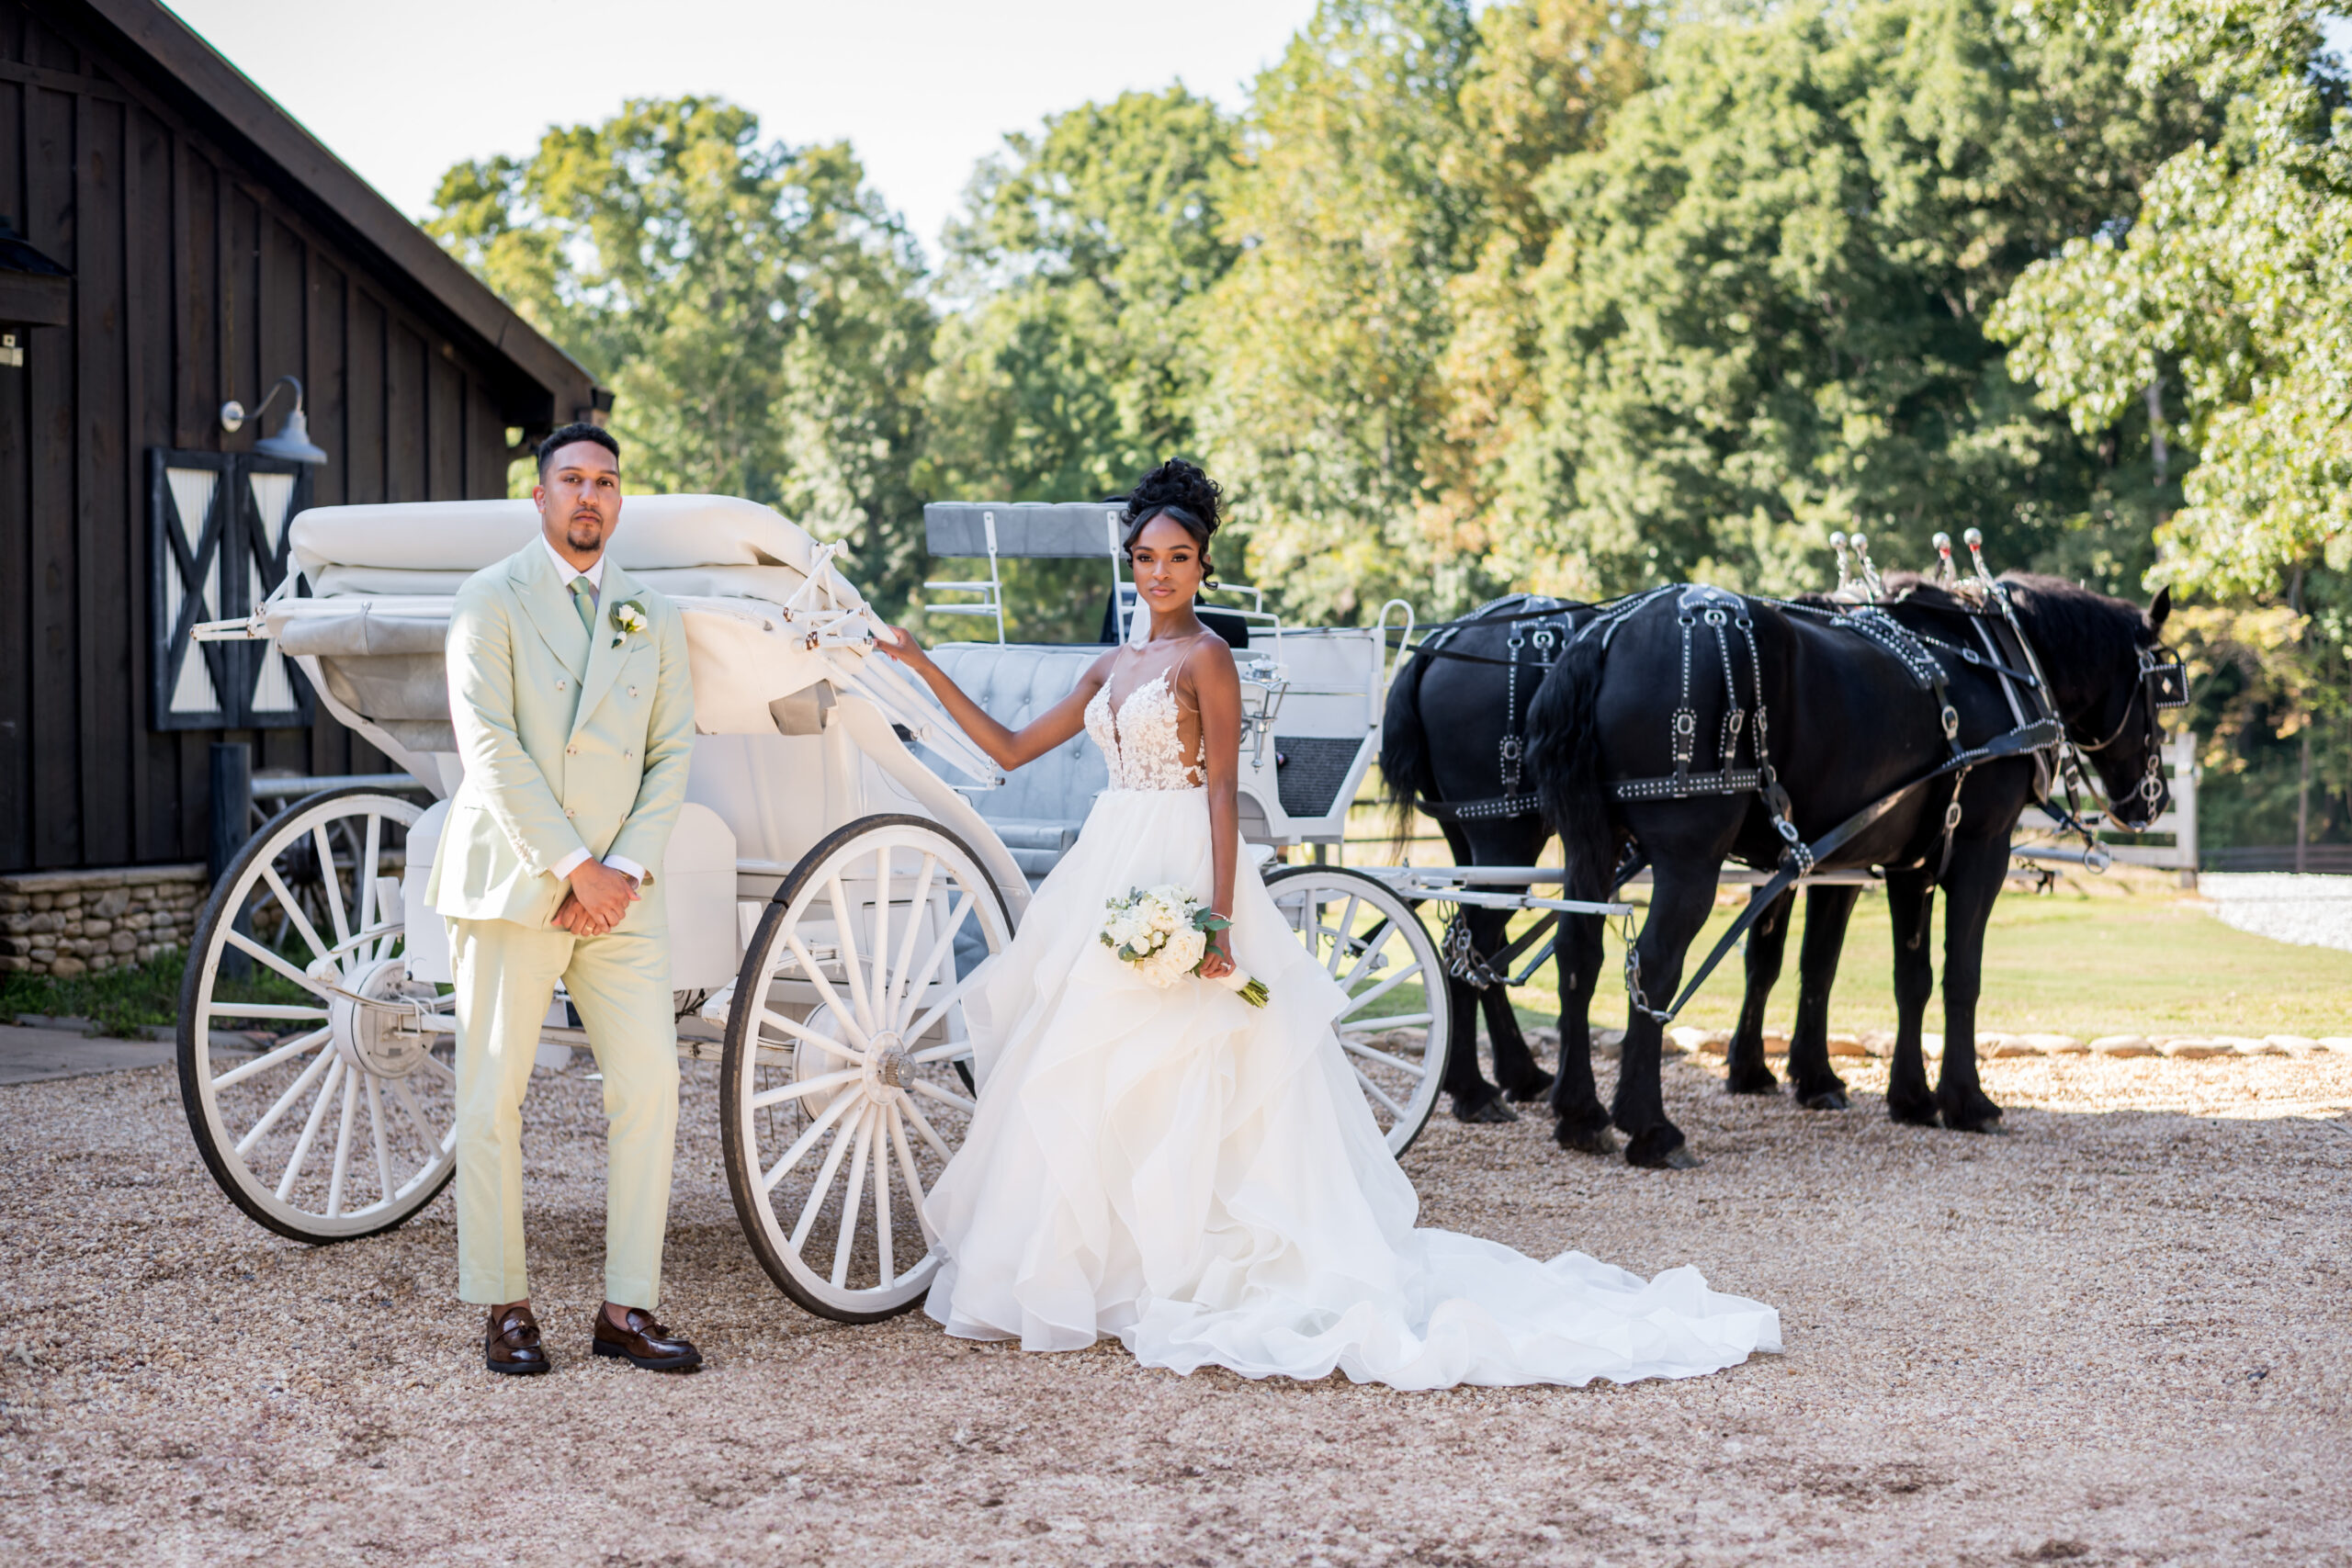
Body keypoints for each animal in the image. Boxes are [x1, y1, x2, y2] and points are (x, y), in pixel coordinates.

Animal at [1533, 573, 2173, 1166]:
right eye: (2164, 686)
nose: (2153, 799)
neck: (1997, 662)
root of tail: (1610, 633)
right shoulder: (1979, 850)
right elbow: (1960, 976)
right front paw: (1967, 1101)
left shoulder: (1903, 867)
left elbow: (1895, 977)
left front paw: (1907, 1097)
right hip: (1690, 858)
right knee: (1654, 966)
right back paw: (1651, 1128)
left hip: (1592, 846)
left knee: (1577, 951)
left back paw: (1580, 1113)